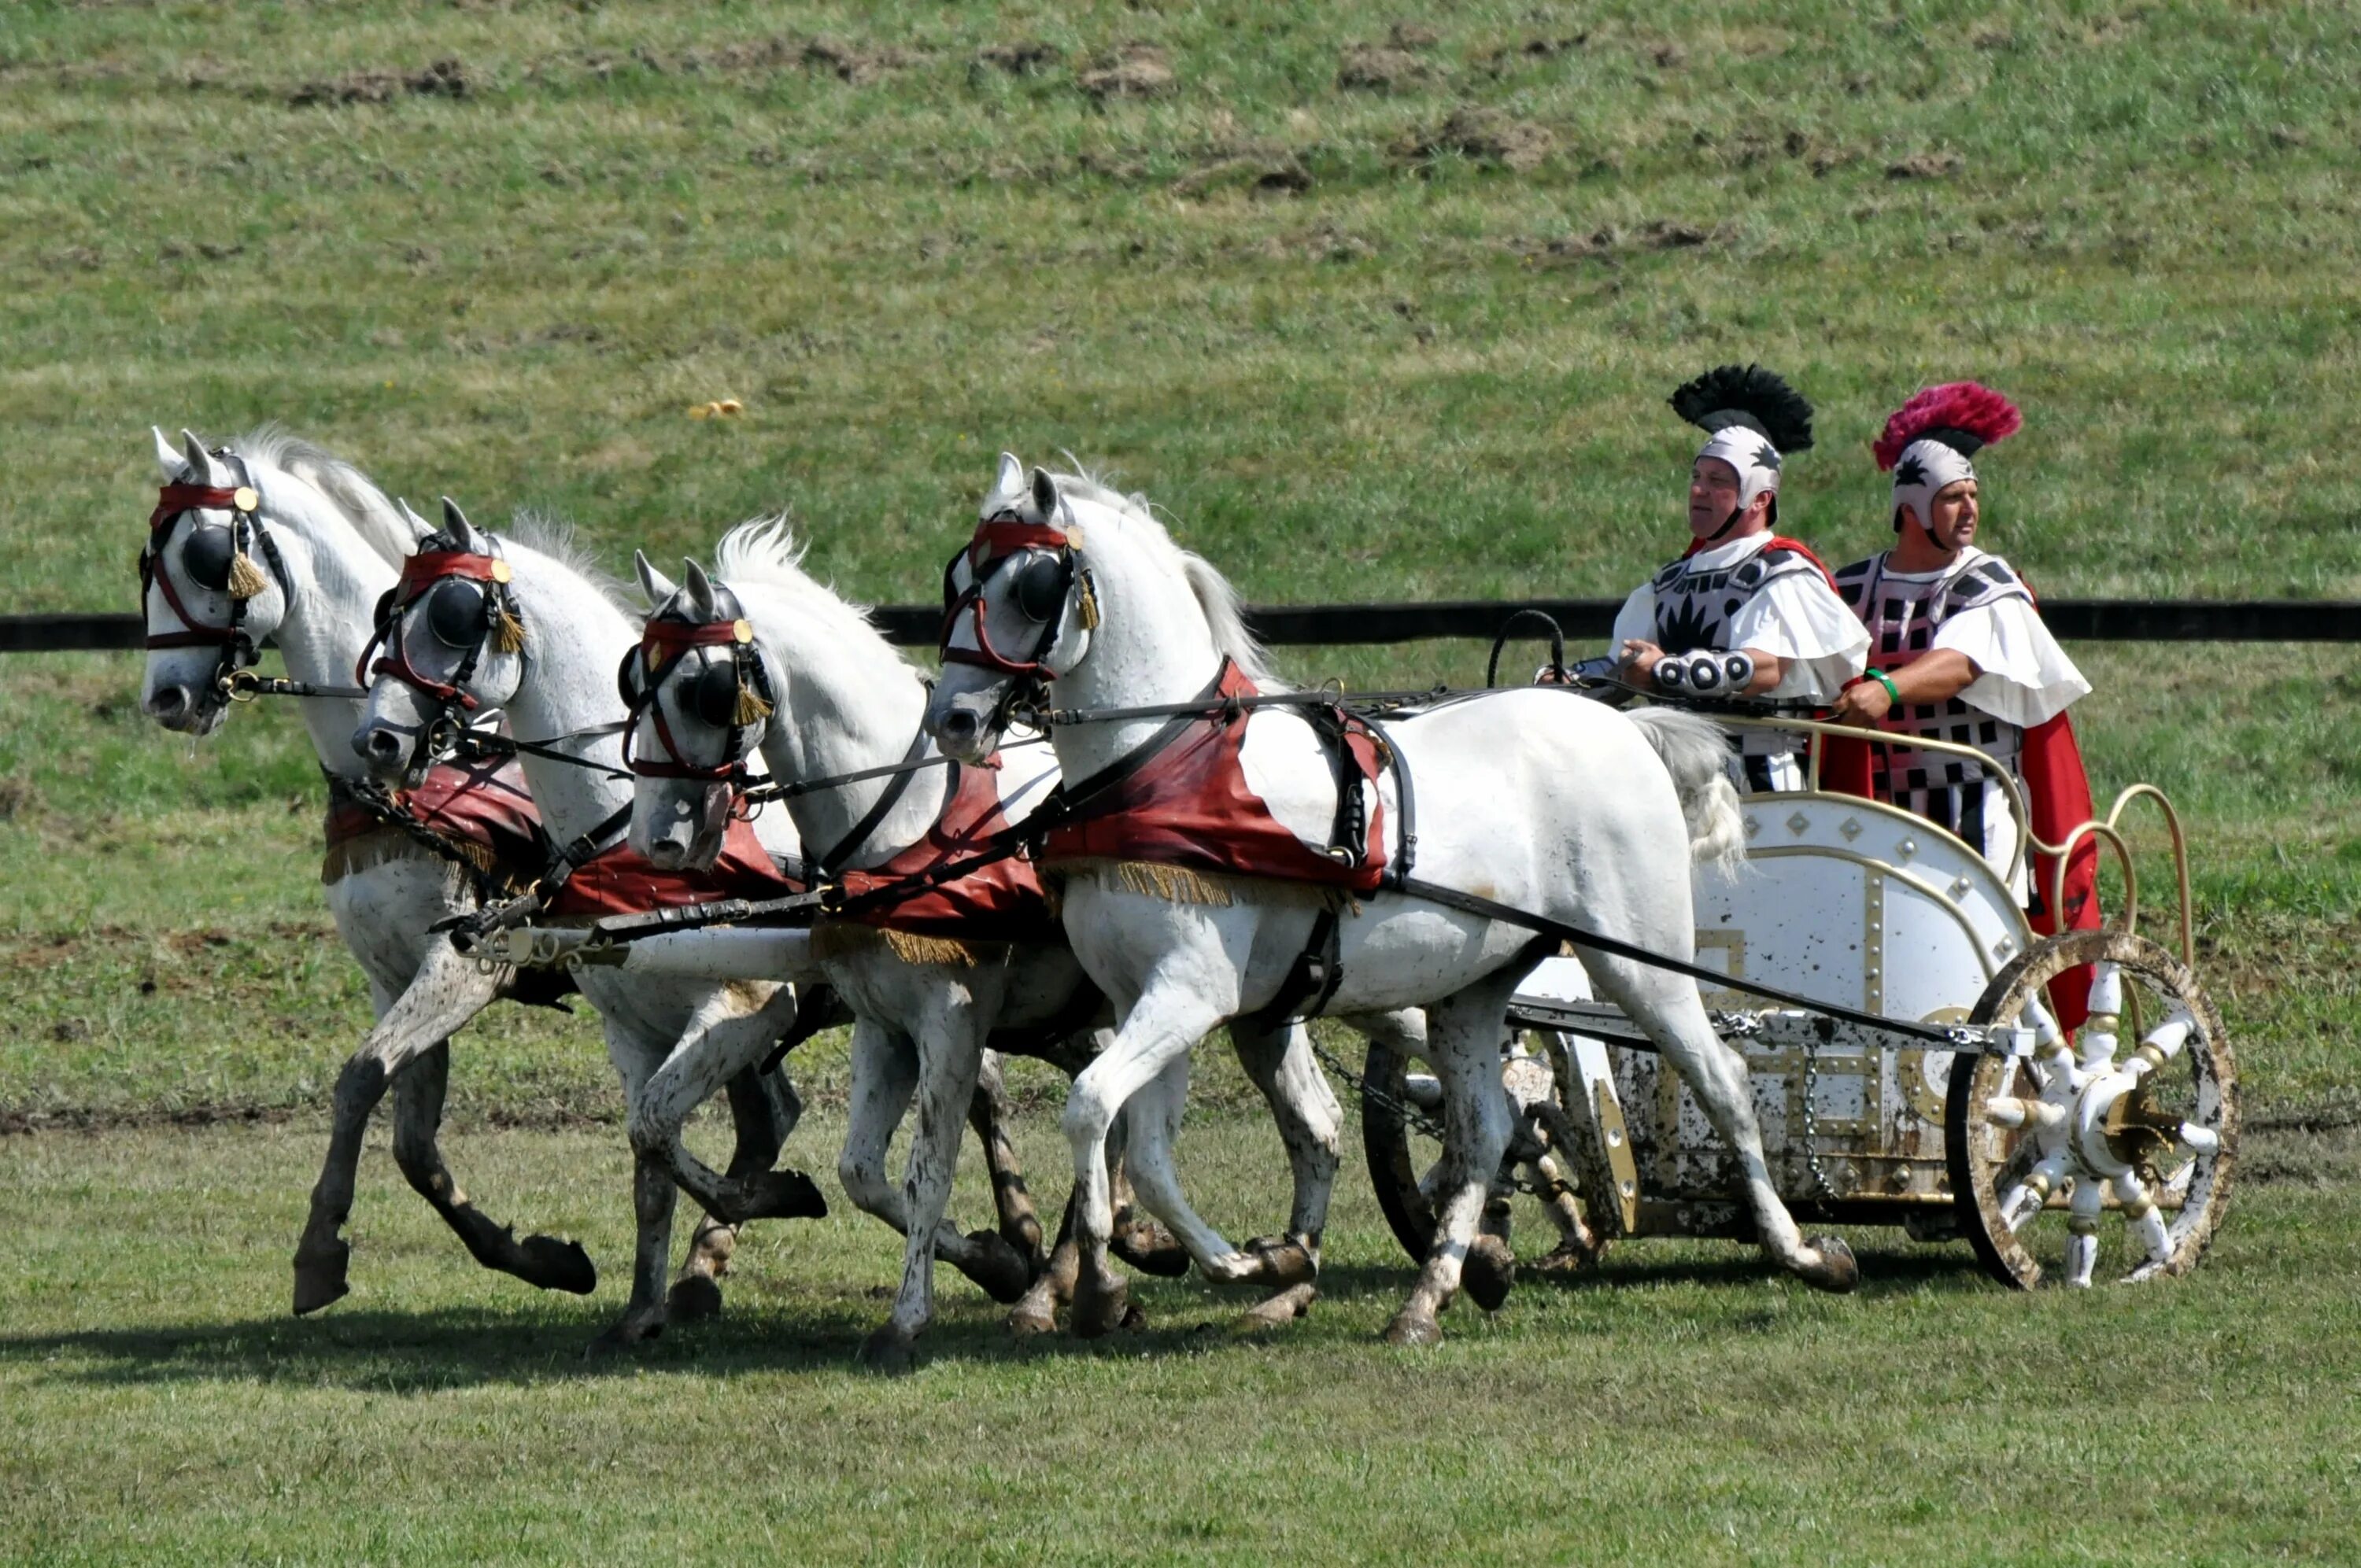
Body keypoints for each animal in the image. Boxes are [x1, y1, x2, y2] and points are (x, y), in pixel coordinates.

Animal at [140, 430, 793, 1312]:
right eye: (148, 558)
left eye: (206, 558)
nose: (166, 698)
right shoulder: (391, 973)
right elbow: (411, 1138)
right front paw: (538, 1257)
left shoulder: (461, 965)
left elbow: (361, 1077)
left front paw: (319, 1248)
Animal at [628, 524, 1369, 1360]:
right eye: (633, 681)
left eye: (701, 689)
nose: (657, 838)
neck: (907, 819)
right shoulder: (884, 1025)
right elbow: (861, 1173)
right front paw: (994, 1259)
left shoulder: (952, 1020)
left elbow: (928, 1166)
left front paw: (911, 1316)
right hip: (1254, 1006)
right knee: (1309, 1122)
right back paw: (1252, 1275)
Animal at [921, 456, 1860, 1350]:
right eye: (957, 577)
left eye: (1029, 587)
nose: (954, 722)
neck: (1163, 763)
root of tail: (1622, 726)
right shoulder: (1146, 997)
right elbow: (1142, 1149)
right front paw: (1243, 1263)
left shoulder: (1191, 992)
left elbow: (1091, 1108)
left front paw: (1127, 1281)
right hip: (1473, 988)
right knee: (1485, 1130)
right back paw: (1430, 1296)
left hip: (1638, 961)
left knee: (1721, 1079)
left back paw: (1804, 1252)